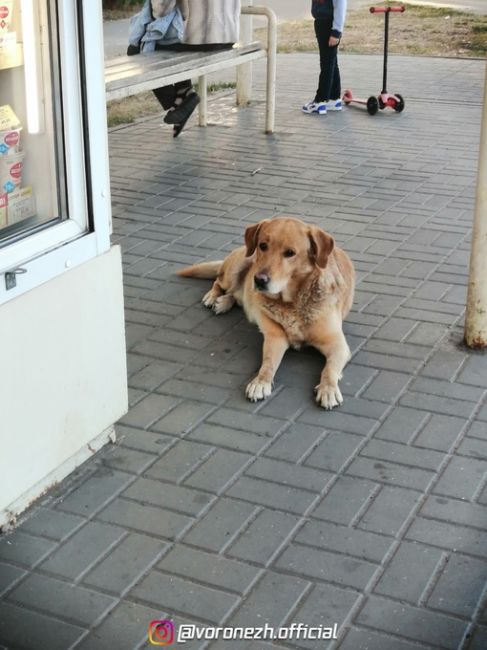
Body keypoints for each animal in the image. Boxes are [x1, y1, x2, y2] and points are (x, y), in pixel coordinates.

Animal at [178, 218, 354, 410]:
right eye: (263, 246)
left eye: (290, 253)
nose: (259, 280)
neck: (292, 302)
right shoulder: (275, 338)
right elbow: (268, 363)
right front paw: (260, 382)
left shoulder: (337, 344)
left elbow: (329, 369)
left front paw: (328, 389)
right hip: (238, 266)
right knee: (220, 281)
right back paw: (213, 297)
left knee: (236, 295)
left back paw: (224, 302)